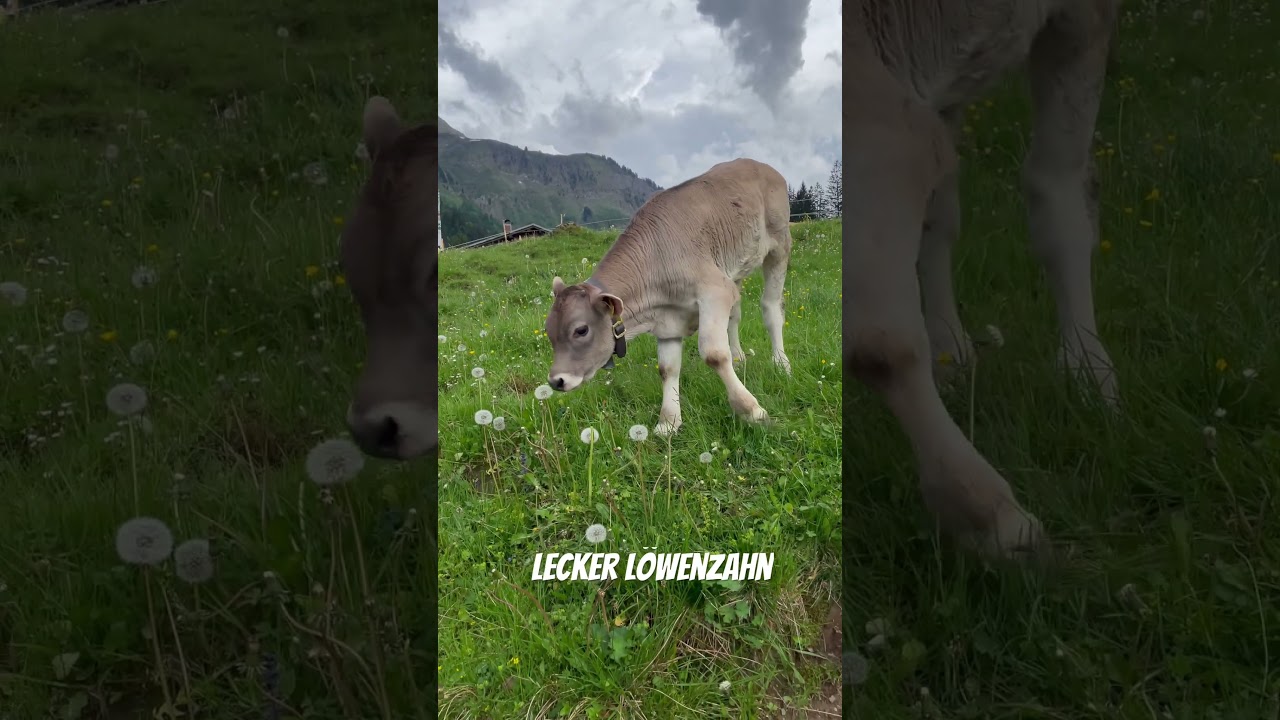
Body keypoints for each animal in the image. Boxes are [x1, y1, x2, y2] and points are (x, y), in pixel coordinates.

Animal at [544, 158, 794, 437]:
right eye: (548, 331)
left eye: (581, 330)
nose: (556, 380)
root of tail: (756, 164)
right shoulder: (670, 319)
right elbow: (667, 369)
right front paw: (668, 422)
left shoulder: (714, 291)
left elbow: (715, 354)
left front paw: (752, 411)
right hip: (734, 270)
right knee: (735, 314)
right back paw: (739, 358)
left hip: (779, 245)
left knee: (771, 308)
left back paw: (781, 364)